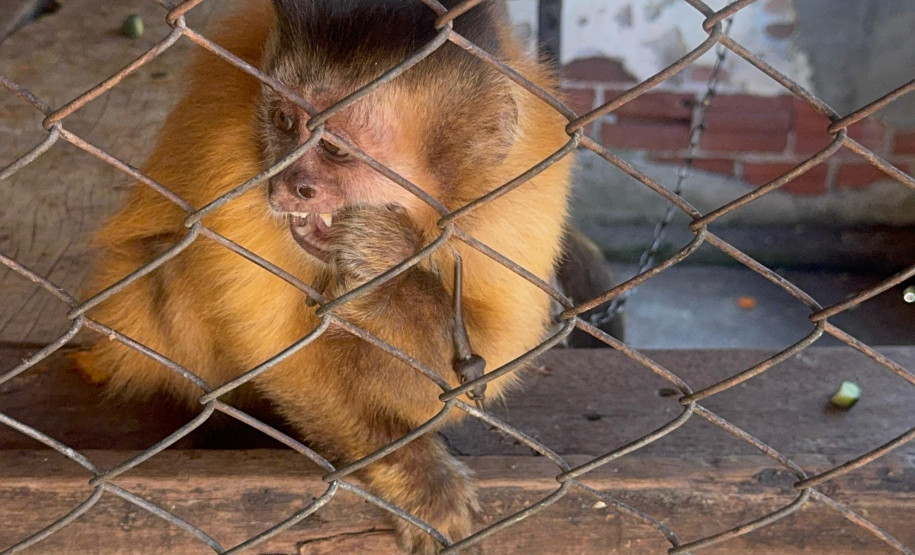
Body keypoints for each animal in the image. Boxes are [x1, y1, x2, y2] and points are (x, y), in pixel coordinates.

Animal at [76, 1, 573, 552]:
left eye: (334, 147)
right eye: (284, 120)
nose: (289, 185)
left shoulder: (519, 192)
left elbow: (485, 367)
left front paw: (389, 272)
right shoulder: (233, 164)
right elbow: (279, 351)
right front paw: (414, 475)